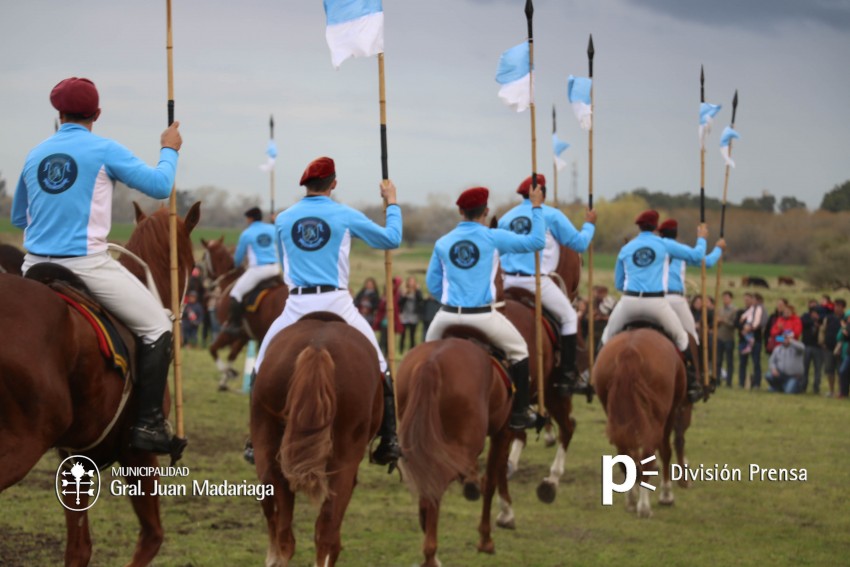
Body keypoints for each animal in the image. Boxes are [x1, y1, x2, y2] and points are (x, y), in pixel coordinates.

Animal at [0, 202, 200, 564]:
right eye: (192, 265)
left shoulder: (74, 459)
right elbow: (152, 536)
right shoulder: (137, 453)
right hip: (24, 441)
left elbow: (79, 548)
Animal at [200, 236, 286, 390]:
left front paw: (229, 372)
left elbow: (213, 349)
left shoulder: (229, 331)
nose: (207, 284)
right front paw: (224, 380)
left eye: (204, 257)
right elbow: (231, 355)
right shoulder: (244, 335)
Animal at [396, 336, 510, 564]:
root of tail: (431, 362)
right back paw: (431, 555)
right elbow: (490, 482)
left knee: (429, 480)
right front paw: (486, 540)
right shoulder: (502, 432)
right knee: (437, 481)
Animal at [588, 328, 688, 520]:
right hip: (657, 419)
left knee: (625, 454)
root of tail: (629, 352)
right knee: (651, 451)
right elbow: (665, 451)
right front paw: (666, 495)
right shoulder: (670, 413)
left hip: (617, 417)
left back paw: (632, 500)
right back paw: (644, 506)